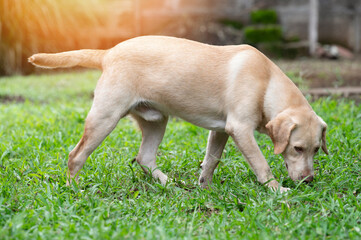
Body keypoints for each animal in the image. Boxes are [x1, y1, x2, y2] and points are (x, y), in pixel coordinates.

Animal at [28, 36, 326, 193]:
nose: (309, 181)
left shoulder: (220, 130)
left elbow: (211, 160)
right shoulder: (240, 129)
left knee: (145, 158)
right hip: (105, 117)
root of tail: (109, 52)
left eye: (316, 150)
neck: (266, 83)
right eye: (297, 148)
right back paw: (74, 188)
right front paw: (277, 189)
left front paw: (205, 188)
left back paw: (169, 183)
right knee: (75, 155)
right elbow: (262, 164)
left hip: (157, 121)